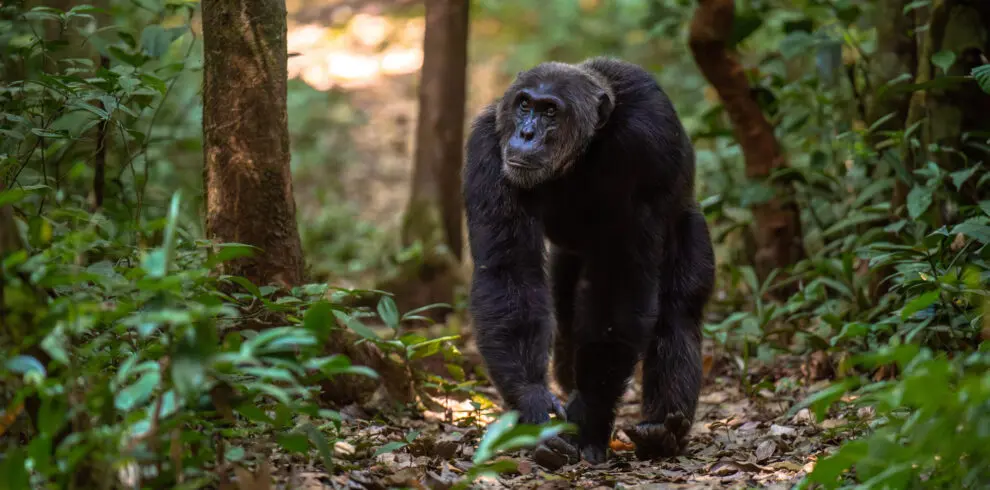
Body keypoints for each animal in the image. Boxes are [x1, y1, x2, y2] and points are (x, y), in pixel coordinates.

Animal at [462, 57, 715, 466]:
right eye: (524, 104)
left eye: (550, 111)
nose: (526, 133)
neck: (581, 155)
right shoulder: (486, 146)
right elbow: (509, 270)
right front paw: (534, 403)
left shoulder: (648, 148)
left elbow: (622, 286)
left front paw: (589, 416)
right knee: (566, 314)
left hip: (689, 222)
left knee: (678, 312)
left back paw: (663, 431)